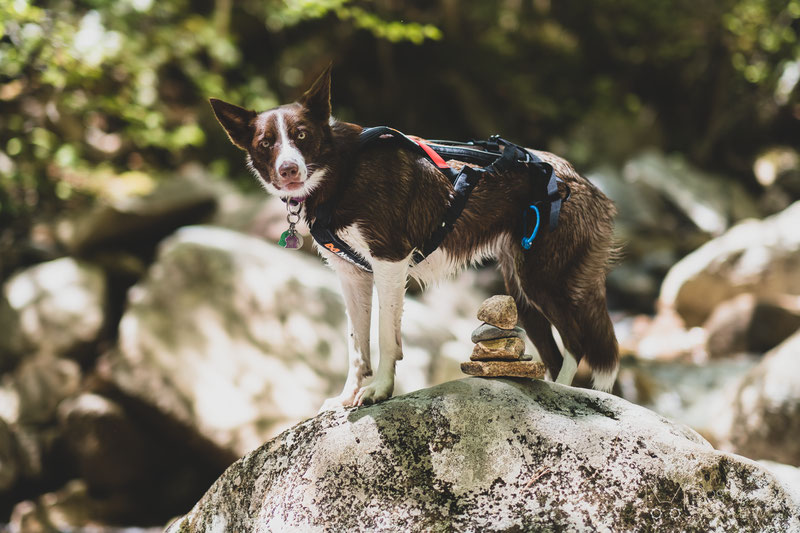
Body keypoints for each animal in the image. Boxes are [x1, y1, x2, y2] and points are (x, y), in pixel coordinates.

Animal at [211, 66, 620, 408]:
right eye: (266, 143)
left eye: (301, 136)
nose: (289, 169)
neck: (342, 171)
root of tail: (583, 182)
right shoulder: (352, 275)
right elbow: (356, 346)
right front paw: (346, 395)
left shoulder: (389, 260)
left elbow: (384, 337)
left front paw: (378, 391)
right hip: (520, 287)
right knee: (553, 353)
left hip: (544, 279)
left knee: (578, 344)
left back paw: (566, 393)